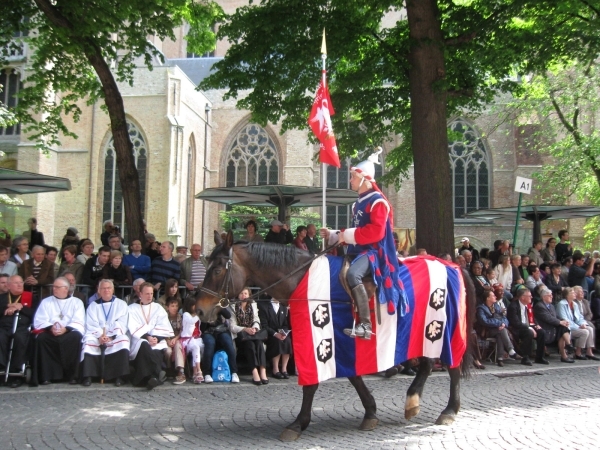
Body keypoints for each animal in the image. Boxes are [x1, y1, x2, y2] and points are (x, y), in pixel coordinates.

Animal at [196, 230, 474, 442]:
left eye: (218, 269)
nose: (199, 309)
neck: (301, 279)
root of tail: (453, 265)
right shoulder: (338, 344)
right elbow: (354, 377)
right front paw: (370, 412)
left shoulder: (319, 339)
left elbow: (312, 384)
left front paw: (298, 423)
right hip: (427, 333)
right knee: (428, 363)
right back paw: (413, 401)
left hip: (443, 330)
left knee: (452, 366)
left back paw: (449, 410)